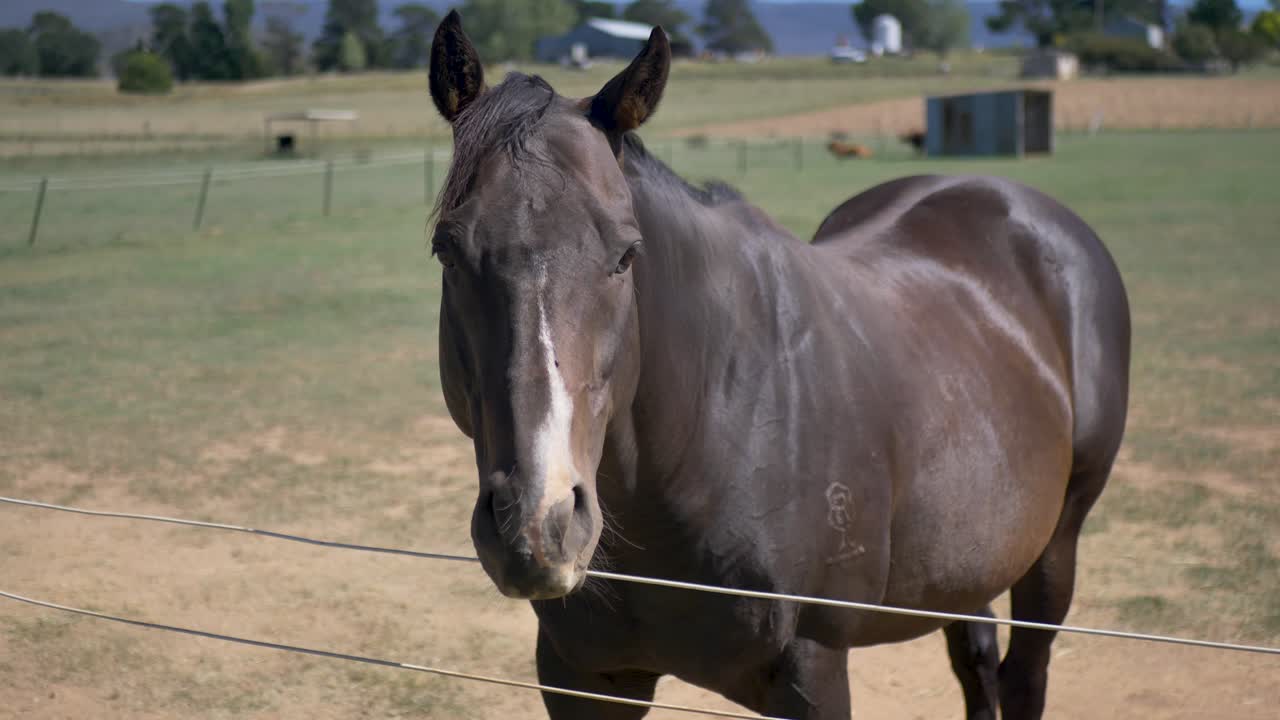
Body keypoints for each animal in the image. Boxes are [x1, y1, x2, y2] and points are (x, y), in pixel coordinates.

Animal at [425, 13, 1130, 720]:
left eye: (625, 255)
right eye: (446, 250)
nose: (538, 525)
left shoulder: (813, 671)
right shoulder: (582, 678)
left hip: (1055, 547)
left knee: (1024, 673)